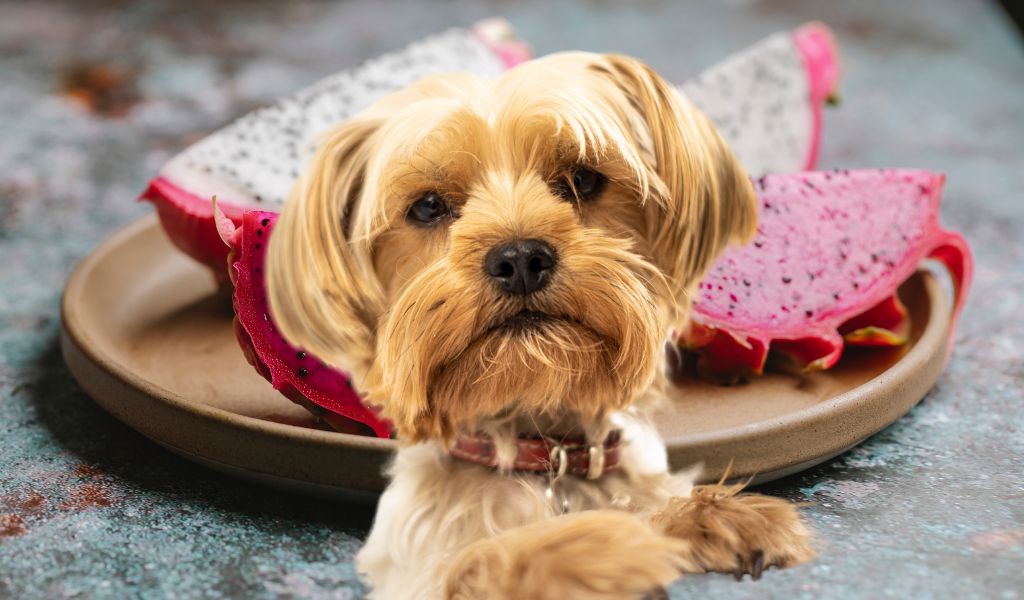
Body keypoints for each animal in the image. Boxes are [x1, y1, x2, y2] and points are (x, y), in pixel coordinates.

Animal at [266, 52, 815, 597]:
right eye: (428, 206)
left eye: (583, 179)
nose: (520, 258)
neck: (544, 456)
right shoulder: (423, 570)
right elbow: (501, 558)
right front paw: (608, 543)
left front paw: (711, 516)